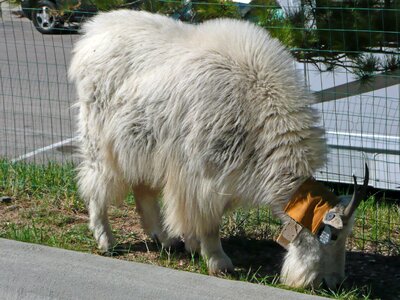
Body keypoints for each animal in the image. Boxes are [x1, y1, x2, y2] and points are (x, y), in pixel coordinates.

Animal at [69, 10, 368, 290]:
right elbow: (209, 222)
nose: (334, 283)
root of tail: (90, 34)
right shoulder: (203, 176)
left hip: (141, 144)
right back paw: (107, 241)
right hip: (100, 141)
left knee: (143, 189)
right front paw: (218, 262)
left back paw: (165, 239)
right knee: (95, 187)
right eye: (334, 236)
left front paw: (192, 245)